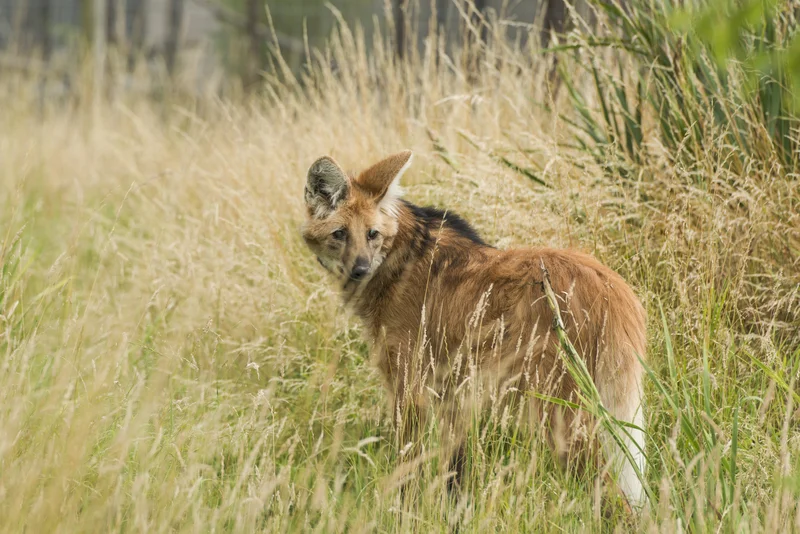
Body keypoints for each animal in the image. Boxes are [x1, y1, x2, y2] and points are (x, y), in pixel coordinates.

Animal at [301, 150, 647, 508]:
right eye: (340, 234)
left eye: (372, 234)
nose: (360, 269)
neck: (399, 261)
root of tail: (613, 287)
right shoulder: (451, 391)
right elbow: (455, 468)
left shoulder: (409, 385)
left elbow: (408, 462)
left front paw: (402, 509)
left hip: (559, 413)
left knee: (614, 495)